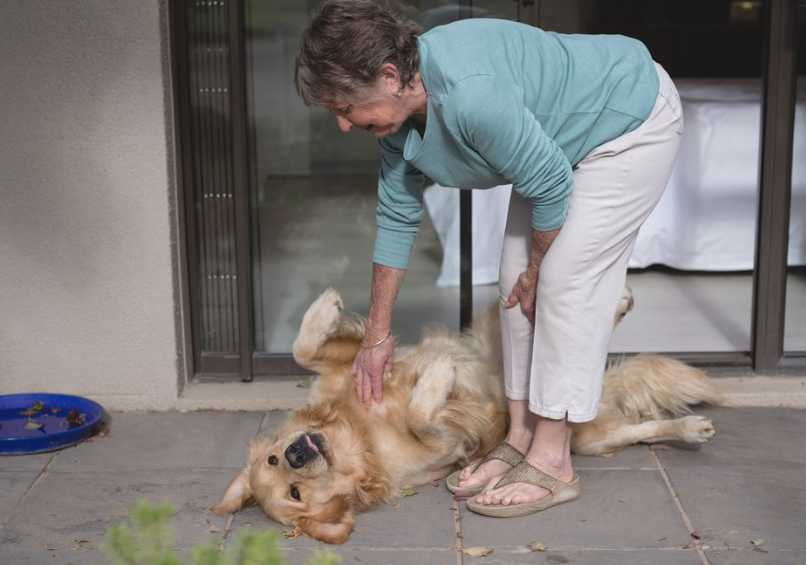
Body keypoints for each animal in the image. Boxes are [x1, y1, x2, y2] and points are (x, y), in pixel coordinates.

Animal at [211, 286, 724, 540]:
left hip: (499, 326)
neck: (358, 436)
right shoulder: (444, 445)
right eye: (294, 494)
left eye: (273, 459)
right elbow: (422, 416)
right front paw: (439, 376)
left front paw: (323, 307)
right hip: (591, 438)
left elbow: (304, 350)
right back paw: (690, 427)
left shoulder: (353, 365)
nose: (296, 453)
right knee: (638, 427)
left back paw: (619, 300)